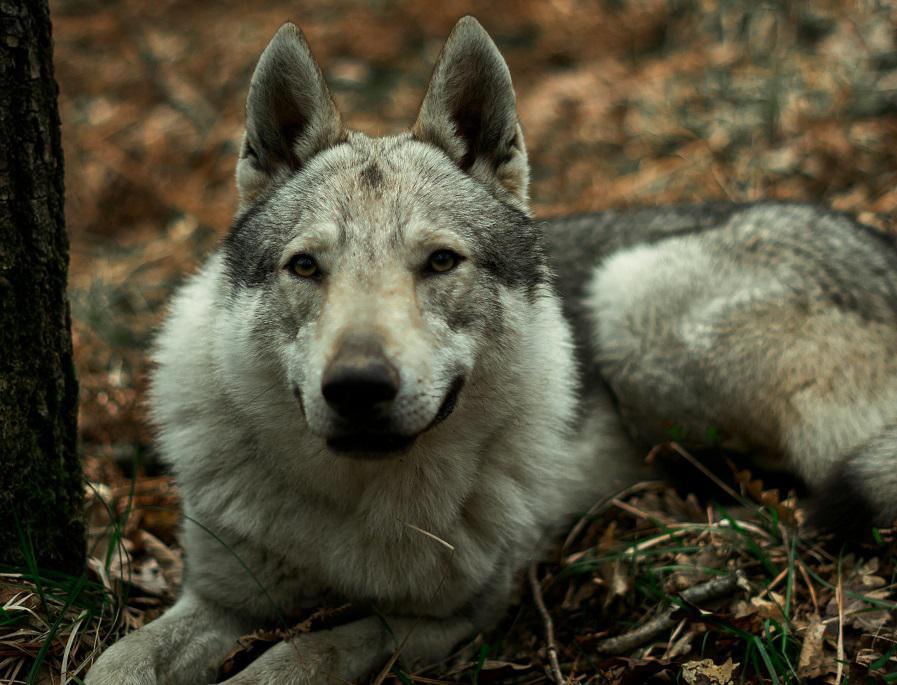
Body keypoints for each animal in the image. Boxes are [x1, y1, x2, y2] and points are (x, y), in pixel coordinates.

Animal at [87, 16, 897, 685]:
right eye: (306, 267)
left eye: (440, 262)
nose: (357, 386)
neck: (356, 507)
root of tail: (871, 235)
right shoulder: (217, 599)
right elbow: (115, 663)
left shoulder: (445, 617)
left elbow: (300, 655)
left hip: (639, 319)